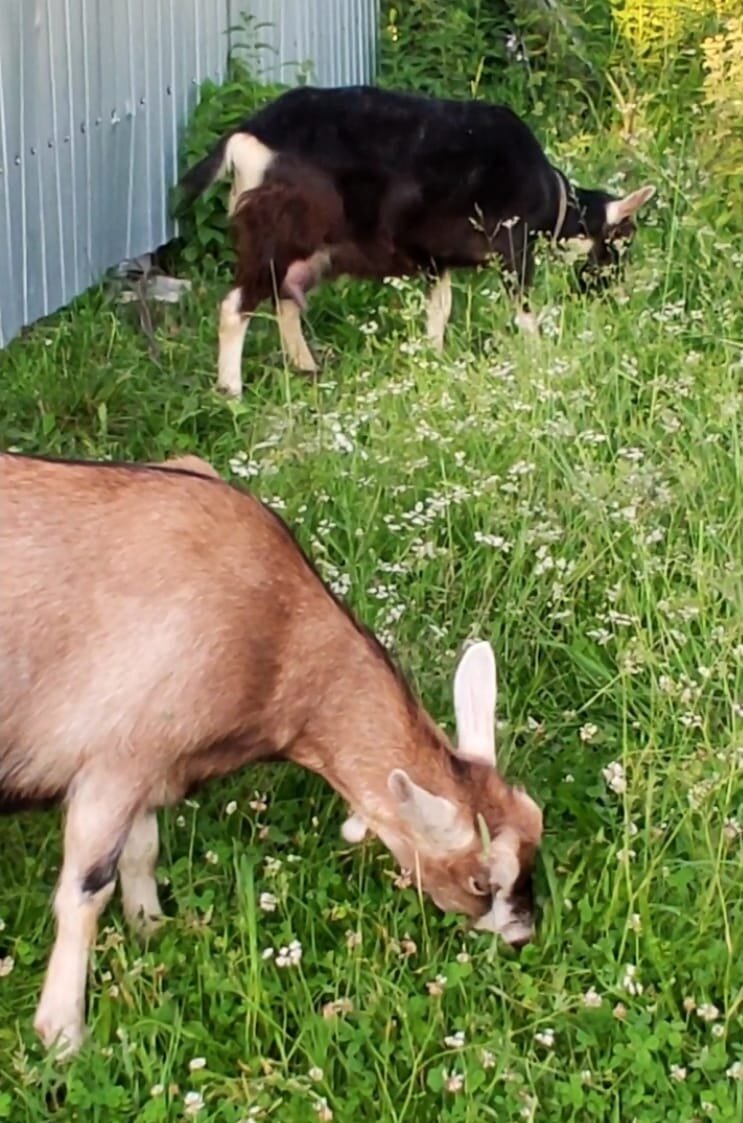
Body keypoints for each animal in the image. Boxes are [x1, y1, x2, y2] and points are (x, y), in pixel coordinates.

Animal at [1, 449, 547, 1051]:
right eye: (481, 881)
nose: (523, 934)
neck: (279, 634)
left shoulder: (148, 759)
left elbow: (141, 851)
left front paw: (151, 928)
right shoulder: (112, 764)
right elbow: (86, 889)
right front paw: (61, 1033)